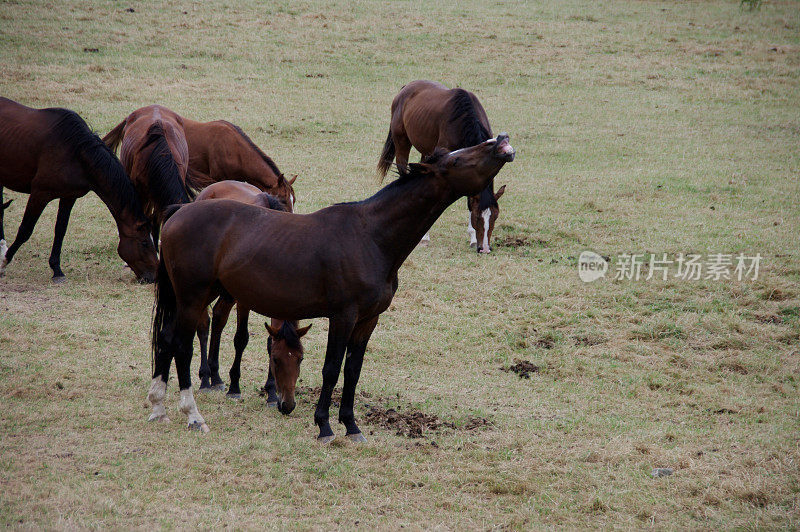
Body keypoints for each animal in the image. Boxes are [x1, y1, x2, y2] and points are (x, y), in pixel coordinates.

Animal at [0, 98, 158, 284]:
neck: (76, 152)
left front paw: (57, 270)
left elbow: (60, 230)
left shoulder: (69, 197)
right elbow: (25, 229)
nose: (154, 276)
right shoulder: (40, 194)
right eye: (144, 243)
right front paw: (4, 262)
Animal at [193, 180, 306, 412]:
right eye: (277, 360)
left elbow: (270, 340)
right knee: (204, 324)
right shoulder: (244, 301)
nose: (287, 405)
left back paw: (216, 377)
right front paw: (235, 387)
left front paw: (271, 392)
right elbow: (241, 338)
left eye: (300, 359)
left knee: (218, 319)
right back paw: (206, 378)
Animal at [378, 79, 510, 254]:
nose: (485, 249)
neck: (463, 119)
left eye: (495, 216)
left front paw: (473, 238)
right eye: (477, 216)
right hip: (402, 143)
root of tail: (406, 88)